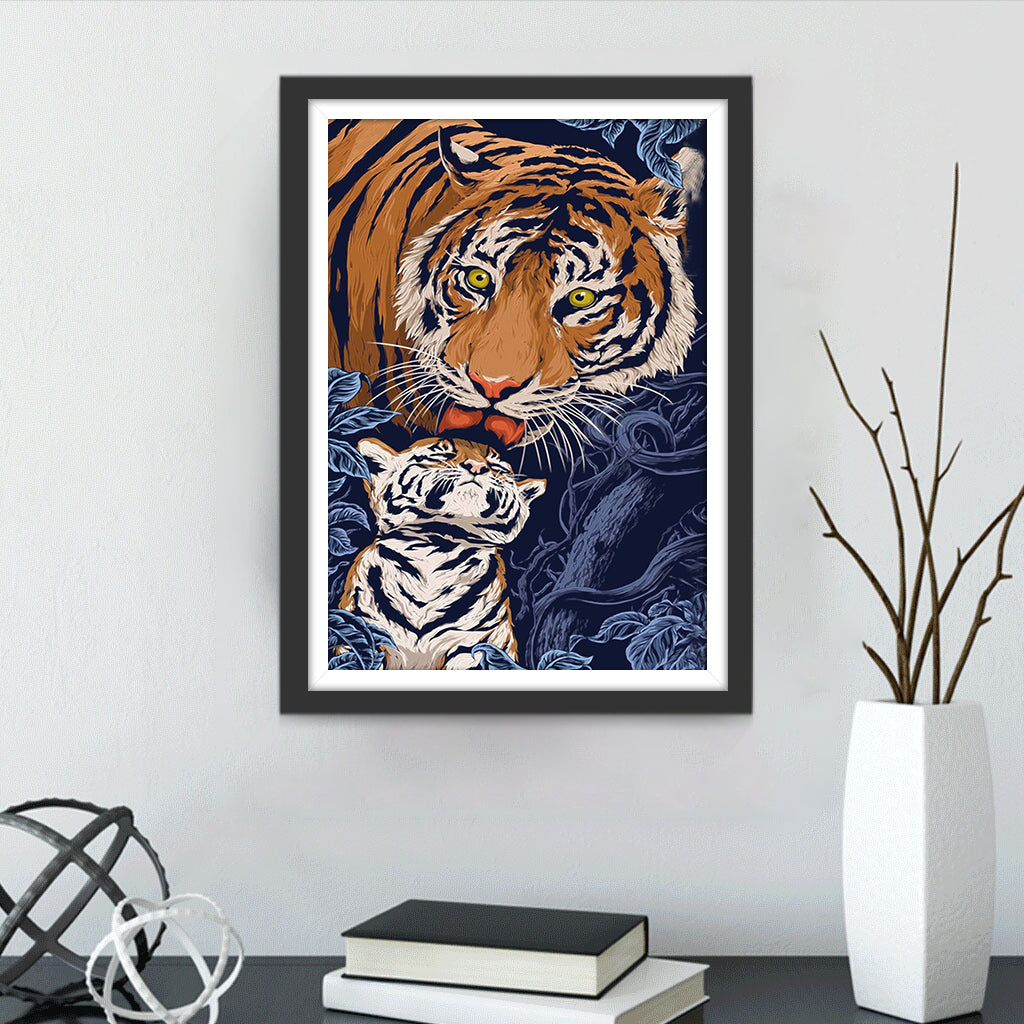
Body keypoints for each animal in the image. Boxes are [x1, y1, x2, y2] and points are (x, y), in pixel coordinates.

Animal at [341, 436, 546, 669]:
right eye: (444, 454)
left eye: (496, 467)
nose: (477, 467)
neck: (437, 549)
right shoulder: (364, 634)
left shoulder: (473, 647)